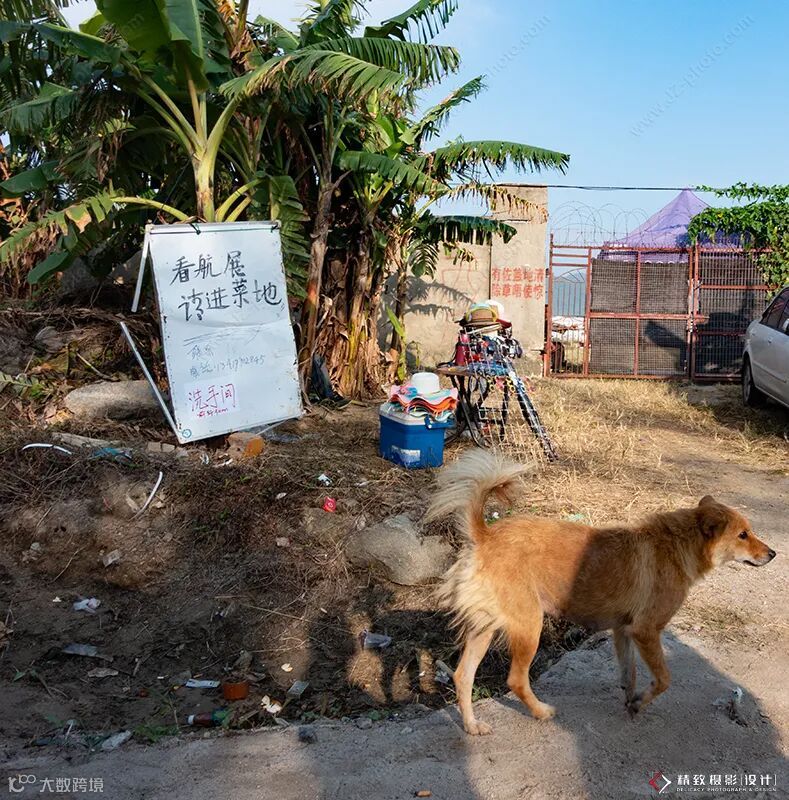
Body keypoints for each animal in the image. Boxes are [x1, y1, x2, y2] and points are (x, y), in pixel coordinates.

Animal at [427, 451, 776, 735]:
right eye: (743, 535)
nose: (773, 554)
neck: (678, 545)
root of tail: (486, 535)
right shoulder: (647, 631)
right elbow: (663, 679)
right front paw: (641, 703)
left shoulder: (624, 630)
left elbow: (630, 673)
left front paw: (632, 701)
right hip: (529, 625)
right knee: (514, 679)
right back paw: (541, 712)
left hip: (485, 628)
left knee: (462, 676)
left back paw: (472, 726)